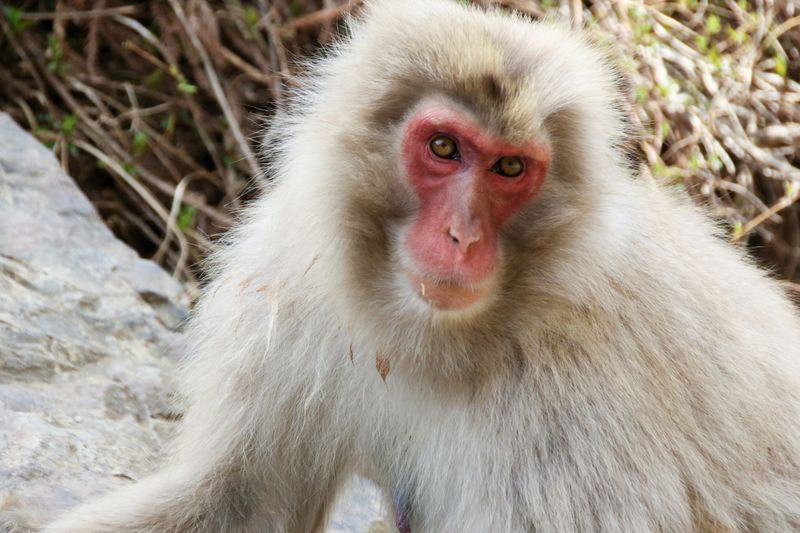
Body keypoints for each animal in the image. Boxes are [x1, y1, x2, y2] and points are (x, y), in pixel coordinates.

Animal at [44, 0, 800, 531]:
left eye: (510, 168)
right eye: (443, 147)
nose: (461, 236)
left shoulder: (576, 402)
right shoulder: (289, 289)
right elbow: (241, 500)